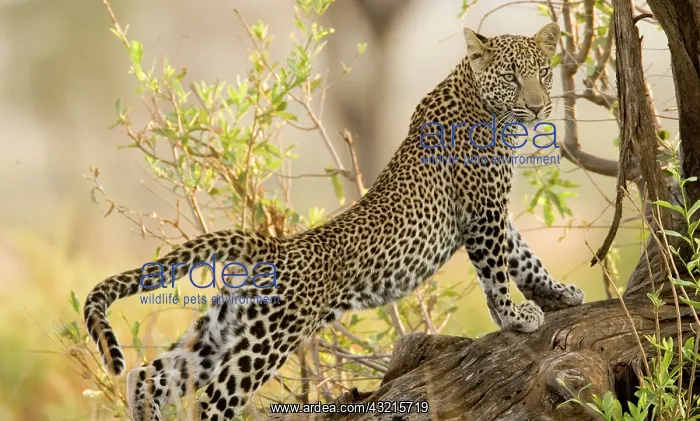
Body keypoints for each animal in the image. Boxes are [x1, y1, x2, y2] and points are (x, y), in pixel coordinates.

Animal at [83, 22, 584, 420]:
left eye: (542, 73)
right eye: (512, 77)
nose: (538, 107)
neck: (478, 98)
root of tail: (272, 246)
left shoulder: (493, 213)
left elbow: (525, 258)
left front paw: (559, 294)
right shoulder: (482, 212)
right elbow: (497, 271)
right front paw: (515, 317)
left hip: (222, 331)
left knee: (148, 376)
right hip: (266, 340)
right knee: (213, 400)